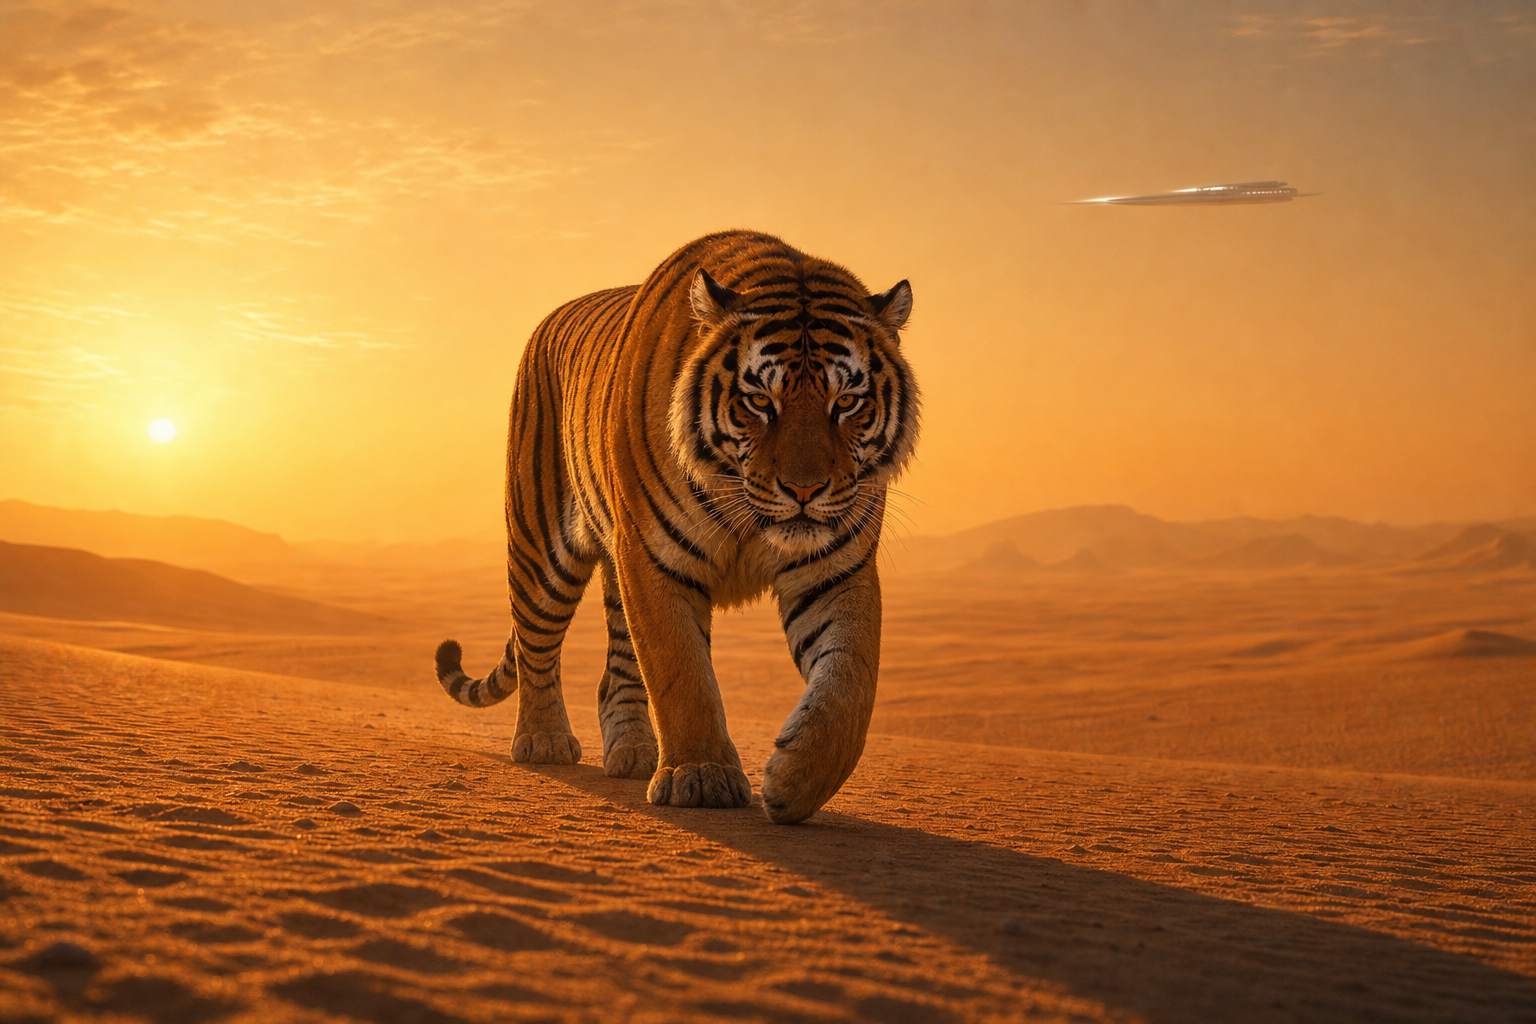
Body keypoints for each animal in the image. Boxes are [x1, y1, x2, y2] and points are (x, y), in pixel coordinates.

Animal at [434, 230, 918, 824]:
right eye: (760, 401)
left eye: (846, 401)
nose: (804, 491)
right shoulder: (653, 557)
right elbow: (681, 672)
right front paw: (702, 776)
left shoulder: (835, 569)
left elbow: (850, 684)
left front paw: (795, 783)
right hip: (540, 547)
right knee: (535, 648)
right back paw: (543, 741)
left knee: (614, 672)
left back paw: (634, 753)